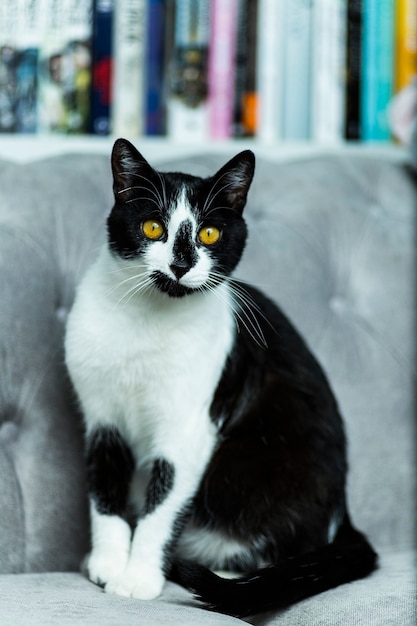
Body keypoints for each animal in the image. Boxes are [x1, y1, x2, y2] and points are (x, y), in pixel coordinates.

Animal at [64, 138, 376, 616]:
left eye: (209, 234)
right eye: (153, 227)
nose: (181, 263)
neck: (146, 321)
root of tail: (342, 512)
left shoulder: (189, 426)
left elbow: (163, 505)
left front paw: (138, 578)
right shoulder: (101, 417)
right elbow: (103, 489)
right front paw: (108, 562)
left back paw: (230, 575)